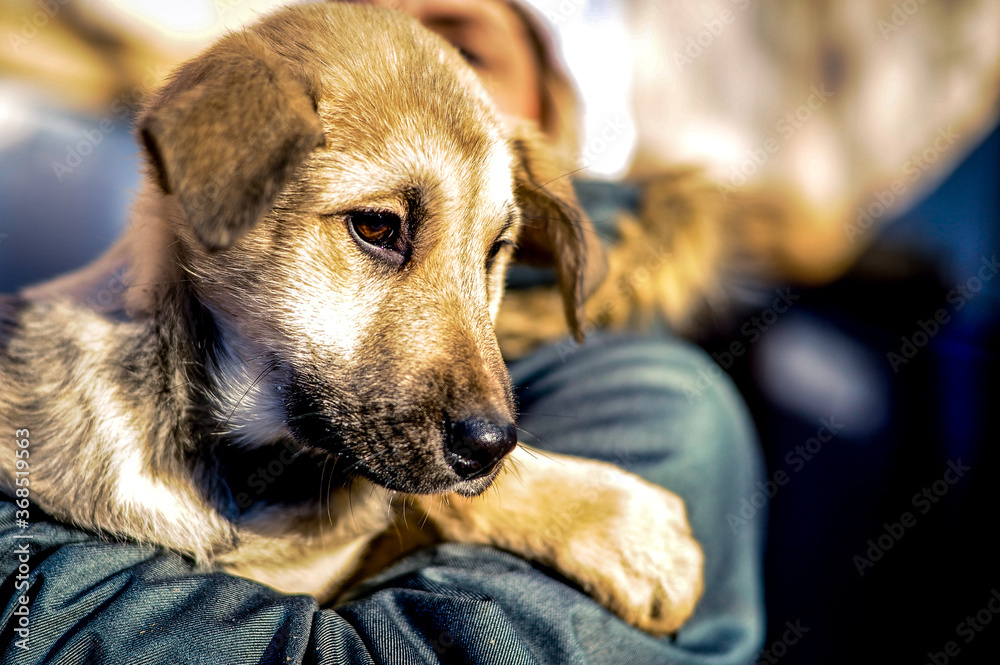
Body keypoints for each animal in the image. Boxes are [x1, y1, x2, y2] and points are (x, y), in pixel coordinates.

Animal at [0, 2, 704, 632]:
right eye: (376, 226)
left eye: (495, 252)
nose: (489, 446)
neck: (245, 467)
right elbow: (409, 494)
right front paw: (623, 524)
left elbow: (402, 494)